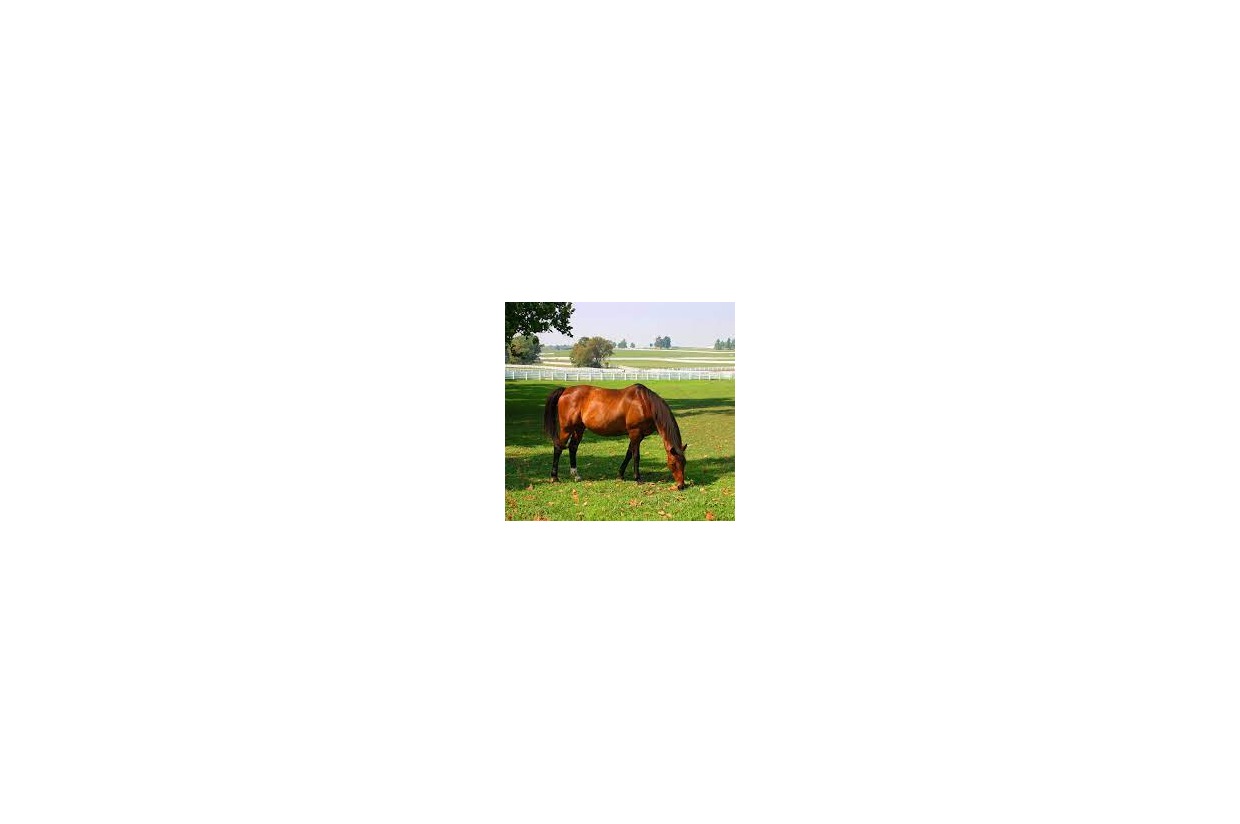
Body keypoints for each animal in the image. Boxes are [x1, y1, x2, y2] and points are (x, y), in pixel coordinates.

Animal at [543, 383, 688, 490]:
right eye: (673, 464)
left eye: (684, 463)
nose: (681, 485)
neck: (645, 403)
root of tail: (565, 390)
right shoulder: (635, 433)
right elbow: (636, 456)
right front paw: (638, 478)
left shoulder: (638, 436)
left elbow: (629, 454)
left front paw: (620, 475)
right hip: (566, 429)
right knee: (558, 447)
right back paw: (554, 477)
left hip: (579, 428)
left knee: (573, 447)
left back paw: (576, 475)